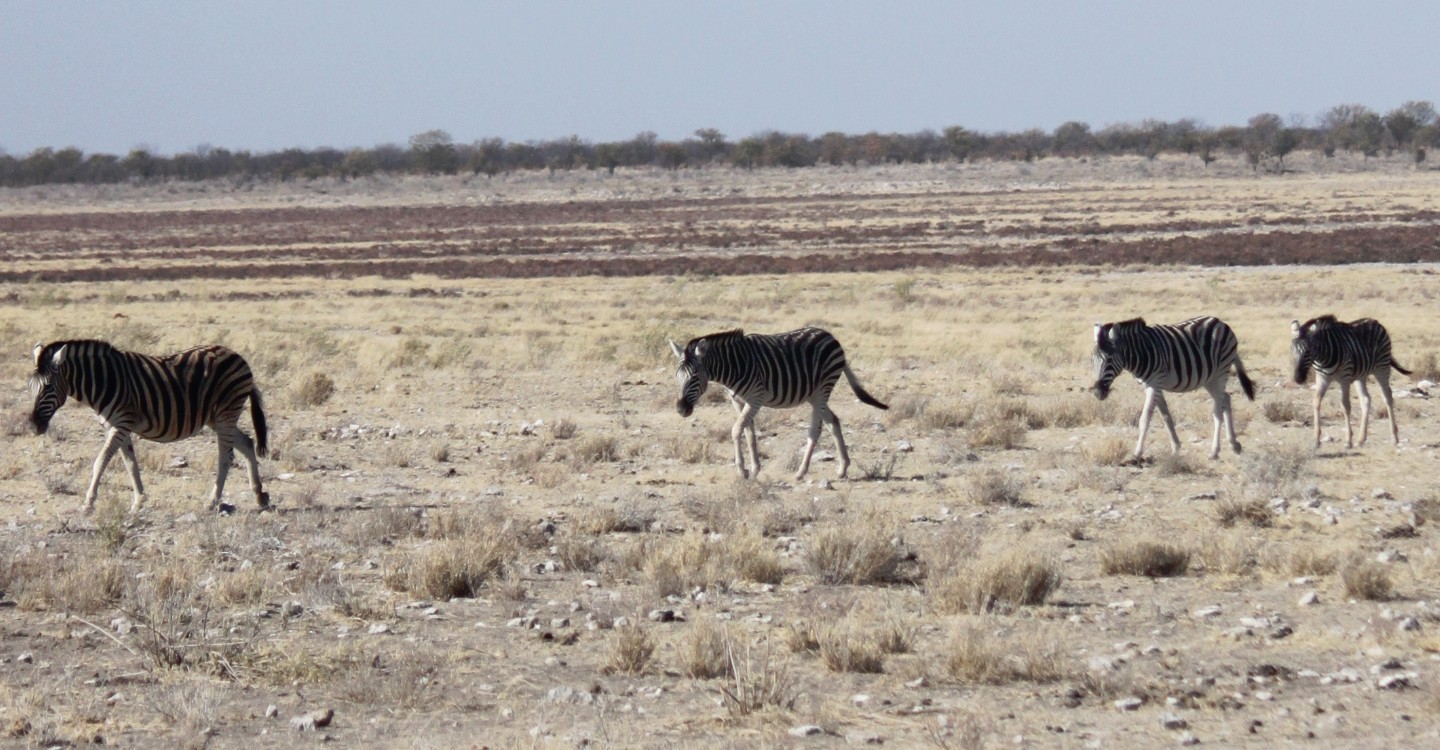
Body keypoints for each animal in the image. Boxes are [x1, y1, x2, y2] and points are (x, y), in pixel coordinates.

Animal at [30, 341, 272, 512]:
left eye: (48, 386)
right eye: (31, 387)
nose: (33, 426)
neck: (104, 381)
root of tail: (239, 357)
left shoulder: (121, 423)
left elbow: (100, 462)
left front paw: (88, 503)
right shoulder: (117, 426)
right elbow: (130, 463)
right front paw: (138, 501)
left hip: (226, 413)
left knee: (227, 456)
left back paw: (212, 501)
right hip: (217, 418)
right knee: (247, 443)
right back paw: (259, 496)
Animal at [665, 328, 887, 480]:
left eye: (695, 376)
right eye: (677, 376)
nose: (681, 409)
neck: (732, 368)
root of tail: (831, 337)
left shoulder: (756, 398)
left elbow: (736, 430)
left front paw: (741, 470)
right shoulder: (738, 401)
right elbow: (749, 433)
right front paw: (755, 469)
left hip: (822, 390)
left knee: (815, 430)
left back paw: (801, 471)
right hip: (814, 394)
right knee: (833, 421)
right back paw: (842, 468)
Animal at [1082, 313, 1255, 457]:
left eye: (1109, 360)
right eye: (1092, 361)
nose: (1097, 392)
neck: (1140, 353)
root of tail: (1221, 322)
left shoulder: (1154, 384)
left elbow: (1145, 419)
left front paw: (1137, 452)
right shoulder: (1151, 386)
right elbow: (1166, 417)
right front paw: (1176, 447)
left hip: (1220, 372)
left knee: (1218, 409)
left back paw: (1214, 451)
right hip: (1209, 378)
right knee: (1226, 398)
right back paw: (1234, 444)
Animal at [1290, 313, 1411, 446]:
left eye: (1308, 351)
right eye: (1292, 350)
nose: (1298, 378)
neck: (1322, 358)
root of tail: (1375, 321)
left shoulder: (1345, 378)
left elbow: (1345, 405)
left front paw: (1348, 440)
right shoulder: (1322, 378)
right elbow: (1316, 402)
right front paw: (1316, 439)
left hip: (1382, 367)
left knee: (1388, 397)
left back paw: (1394, 437)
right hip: (1361, 375)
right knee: (1365, 399)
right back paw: (1361, 439)